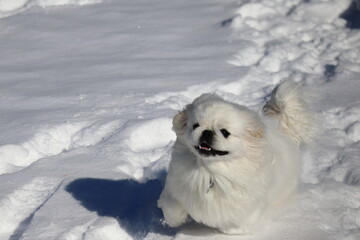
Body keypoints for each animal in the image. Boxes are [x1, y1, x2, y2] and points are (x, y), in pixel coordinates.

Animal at [158, 80, 316, 234]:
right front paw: (175, 220)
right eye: (195, 125)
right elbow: (172, 209)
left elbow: (232, 226)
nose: (207, 132)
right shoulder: (177, 188)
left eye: (225, 132)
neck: (210, 171)